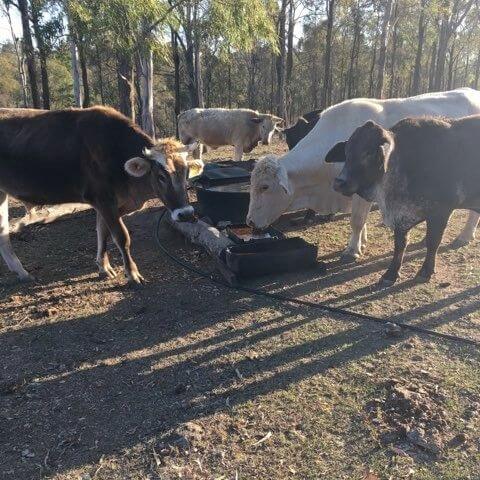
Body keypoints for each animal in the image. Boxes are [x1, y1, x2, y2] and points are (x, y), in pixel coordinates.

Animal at [0, 106, 197, 284]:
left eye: (186, 172)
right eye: (161, 176)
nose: (186, 214)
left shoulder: (109, 205)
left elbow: (102, 233)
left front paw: (104, 267)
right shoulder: (103, 200)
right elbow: (121, 237)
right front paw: (132, 274)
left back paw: (22, 273)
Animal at [246, 88, 480, 261]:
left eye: (265, 186)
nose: (249, 222)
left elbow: (357, 220)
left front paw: (352, 250)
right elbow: (362, 221)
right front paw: (363, 242)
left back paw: (464, 236)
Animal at [327, 116, 480, 285]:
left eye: (368, 153)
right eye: (347, 152)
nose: (339, 182)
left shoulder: (441, 212)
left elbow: (433, 242)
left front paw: (425, 271)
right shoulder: (400, 218)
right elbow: (400, 245)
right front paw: (391, 273)